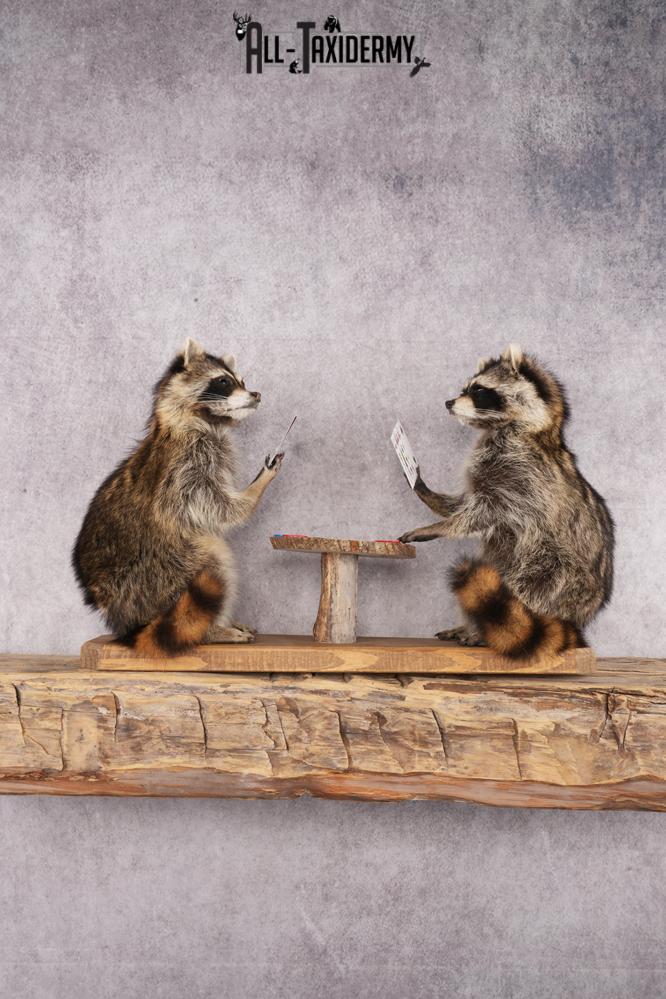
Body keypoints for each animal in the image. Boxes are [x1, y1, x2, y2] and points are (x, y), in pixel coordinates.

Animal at [73, 338, 282, 656]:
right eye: (223, 381)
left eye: (242, 381)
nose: (256, 395)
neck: (198, 420)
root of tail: (132, 623)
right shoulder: (185, 469)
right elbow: (219, 510)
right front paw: (256, 487)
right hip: (167, 569)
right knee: (214, 558)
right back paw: (212, 629)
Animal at [399, 345, 614, 661]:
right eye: (465, 388)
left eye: (479, 390)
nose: (449, 402)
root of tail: (577, 617)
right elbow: (465, 502)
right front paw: (430, 495)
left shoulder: (524, 477)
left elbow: (484, 512)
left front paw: (442, 525)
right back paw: (470, 624)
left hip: (556, 574)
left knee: (523, 588)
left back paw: (488, 630)